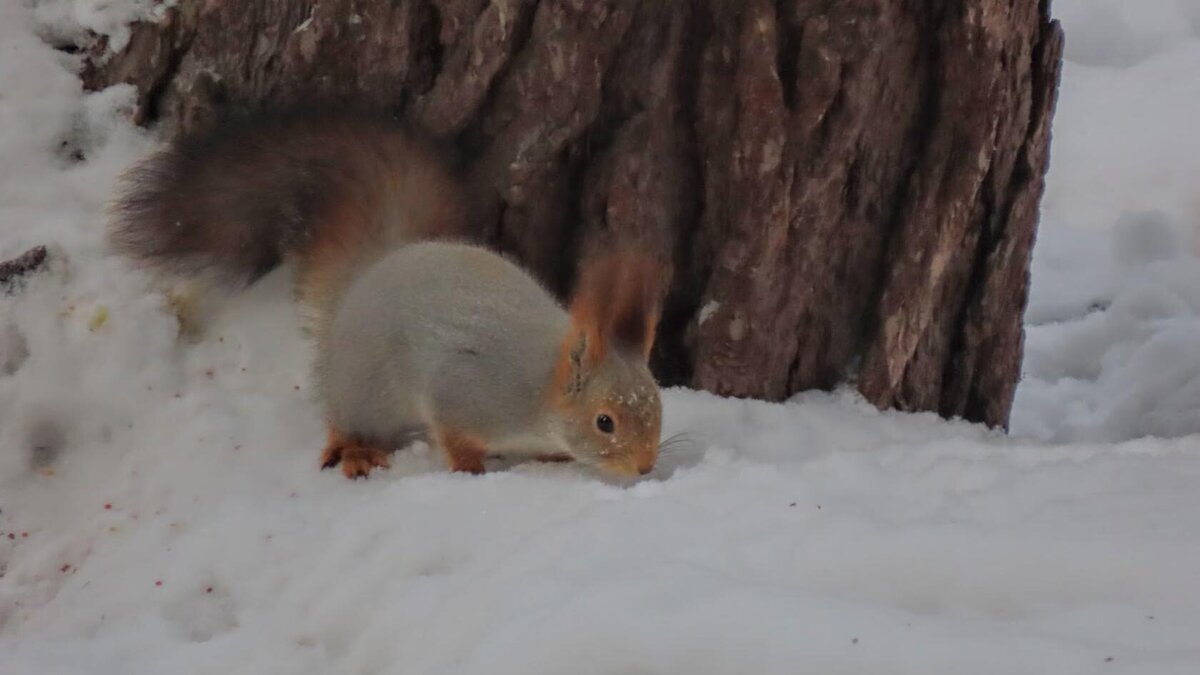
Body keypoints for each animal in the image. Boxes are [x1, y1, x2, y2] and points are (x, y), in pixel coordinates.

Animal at [106, 107, 662, 478]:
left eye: (657, 406)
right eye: (605, 422)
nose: (645, 467)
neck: (539, 387)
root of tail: (369, 271)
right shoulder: (463, 391)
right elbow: (453, 436)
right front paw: (470, 469)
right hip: (365, 390)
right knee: (343, 418)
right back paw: (356, 451)